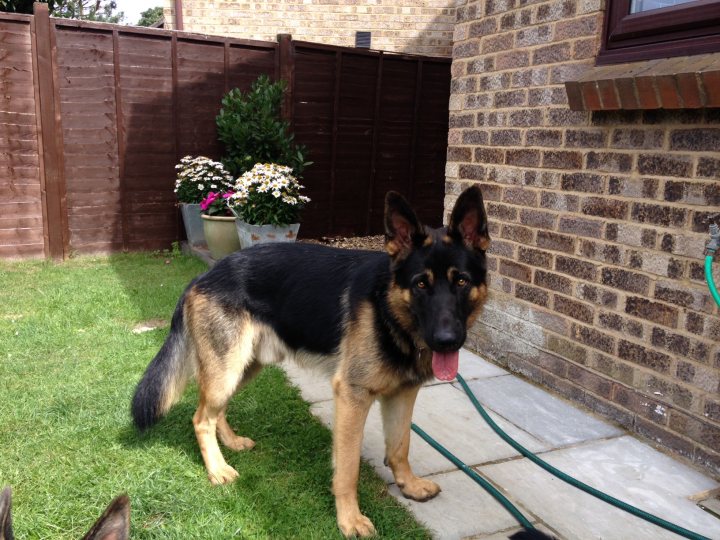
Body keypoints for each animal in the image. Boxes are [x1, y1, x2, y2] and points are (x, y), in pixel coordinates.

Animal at [131, 185, 490, 536]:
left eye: (461, 281)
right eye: (420, 284)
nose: (447, 340)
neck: (387, 308)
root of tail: (203, 276)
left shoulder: (403, 394)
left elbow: (400, 446)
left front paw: (409, 486)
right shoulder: (352, 397)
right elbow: (348, 468)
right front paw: (349, 519)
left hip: (242, 368)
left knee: (214, 410)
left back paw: (230, 443)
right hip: (227, 370)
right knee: (201, 417)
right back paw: (217, 469)